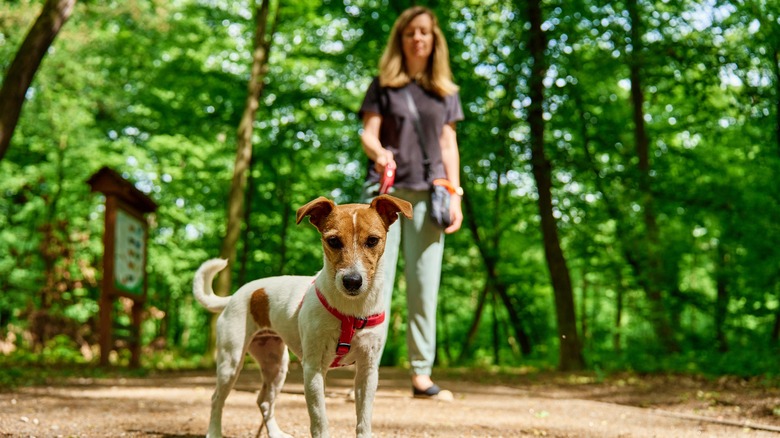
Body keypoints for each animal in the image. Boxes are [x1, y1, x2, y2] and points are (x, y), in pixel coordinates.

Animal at [191, 196, 412, 438]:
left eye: (372, 240)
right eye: (333, 241)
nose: (352, 281)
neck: (351, 311)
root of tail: (234, 297)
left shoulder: (368, 371)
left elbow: (363, 421)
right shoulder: (313, 369)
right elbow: (320, 420)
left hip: (276, 365)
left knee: (264, 401)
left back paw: (276, 433)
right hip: (231, 363)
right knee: (217, 399)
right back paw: (214, 432)